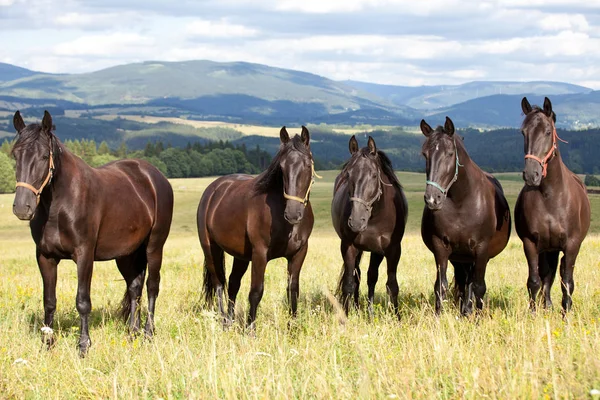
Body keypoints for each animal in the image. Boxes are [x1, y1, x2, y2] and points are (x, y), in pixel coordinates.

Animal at [11, 110, 173, 356]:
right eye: (15, 156)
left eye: (43, 156)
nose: (22, 207)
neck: (60, 204)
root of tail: (155, 177)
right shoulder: (45, 257)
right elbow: (49, 300)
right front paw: (47, 344)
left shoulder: (84, 255)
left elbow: (83, 301)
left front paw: (83, 346)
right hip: (127, 254)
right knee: (134, 288)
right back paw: (132, 332)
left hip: (154, 247)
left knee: (152, 286)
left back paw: (147, 333)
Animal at [198, 126, 318, 330]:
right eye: (282, 168)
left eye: (307, 166)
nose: (293, 214)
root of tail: (213, 190)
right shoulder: (260, 253)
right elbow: (256, 291)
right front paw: (250, 329)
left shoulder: (299, 253)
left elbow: (293, 289)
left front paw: (293, 328)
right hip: (210, 248)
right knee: (219, 284)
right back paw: (223, 321)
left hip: (241, 255)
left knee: (233, 283)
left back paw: (230, 321)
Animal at [330, 136, 410, 318]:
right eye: (349, 174)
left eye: (374, 175)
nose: (356, 221)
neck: (375, 217)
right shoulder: (348, 246)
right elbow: (348, 283)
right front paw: (346, 315)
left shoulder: (391, 250)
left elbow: (391, 285)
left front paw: (396, 316)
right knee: (356, 275)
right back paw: (356, 306)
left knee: (370, 276)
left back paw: (368, 311)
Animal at [420, 116, 508, 316]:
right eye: (425, 155)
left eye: (450, 154)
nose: (432, 199)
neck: (461, 202)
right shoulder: (441, 247)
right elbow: (441, 286)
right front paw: (438, 317)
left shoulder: (481, 250)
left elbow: (479, 287)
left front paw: (477, 318)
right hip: (459, 258)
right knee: (464, 281)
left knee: (471, 283)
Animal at [512, 97, 588, 312]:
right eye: (523, 132)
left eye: (547, 131)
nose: (532, 174)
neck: (550, 197)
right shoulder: (530, 243)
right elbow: (534, 281)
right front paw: (533, 312)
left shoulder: (571, 245)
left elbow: (567, 282)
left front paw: (566, 313)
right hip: (548, 248)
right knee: (547, 275)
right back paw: (547, 306)